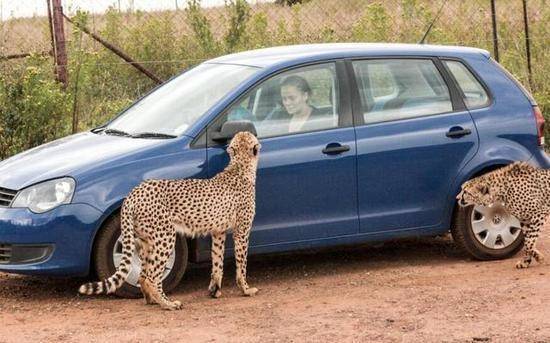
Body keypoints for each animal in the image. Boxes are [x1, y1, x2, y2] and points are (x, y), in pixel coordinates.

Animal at [78, 132, 266, 312]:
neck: (239, 166)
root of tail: (135, 192)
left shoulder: (218, 232)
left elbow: (217, 261)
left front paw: (215, 290)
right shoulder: (241, 231)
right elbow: (241, 263)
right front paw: (246, 289)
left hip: (145, 240)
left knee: (143, 276)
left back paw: (151, 300)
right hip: (166, 236)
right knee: (152, 277)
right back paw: (168, 304)